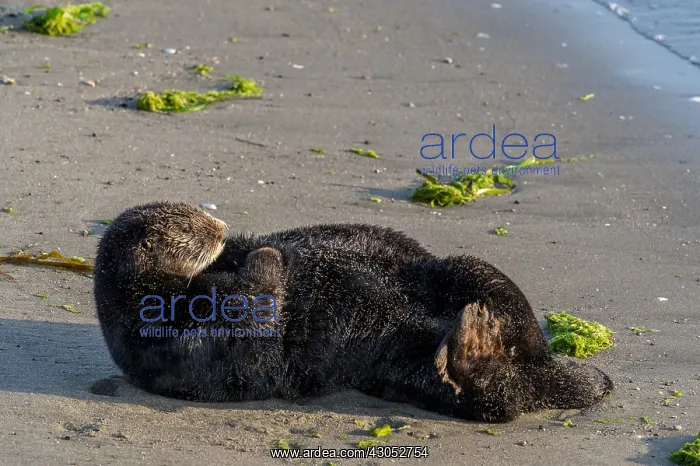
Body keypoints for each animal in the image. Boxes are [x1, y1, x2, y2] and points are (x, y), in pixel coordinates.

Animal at [94, 201, 612, 422]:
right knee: (499, 402)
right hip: (415, 375)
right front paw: (266, 260)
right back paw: (474, 343)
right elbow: (247, 330)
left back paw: (482, 324)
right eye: (188, 228)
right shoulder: (175, 346)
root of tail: (541, 372)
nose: (219, 225)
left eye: (199, 216)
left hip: (462, 270)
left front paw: (263, 248)